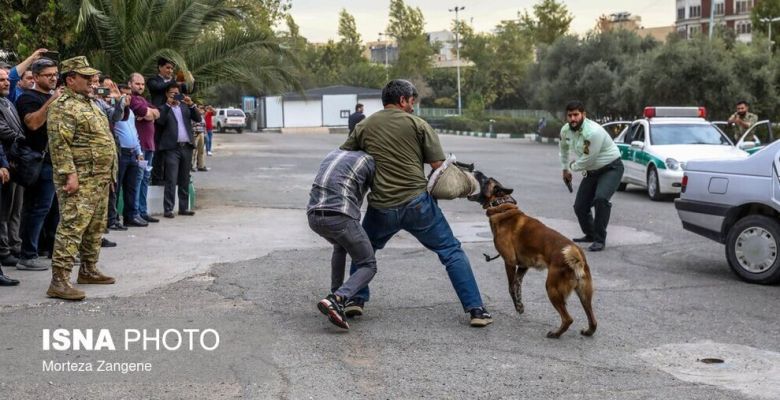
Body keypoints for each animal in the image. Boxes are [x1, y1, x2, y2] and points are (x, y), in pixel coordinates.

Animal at [466, 170, 600, 340]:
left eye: (485, 179)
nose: (475, 170)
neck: (501, 205)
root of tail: (577, 258)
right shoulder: (523, 266)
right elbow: (517, 286)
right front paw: (520, 305)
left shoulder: (509, 262)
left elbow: (510, 287)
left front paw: (517, 306)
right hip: (584, 294)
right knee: (593, 319)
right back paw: (588, 331)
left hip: (552, 288)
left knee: (568, 318)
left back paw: (555, 334)